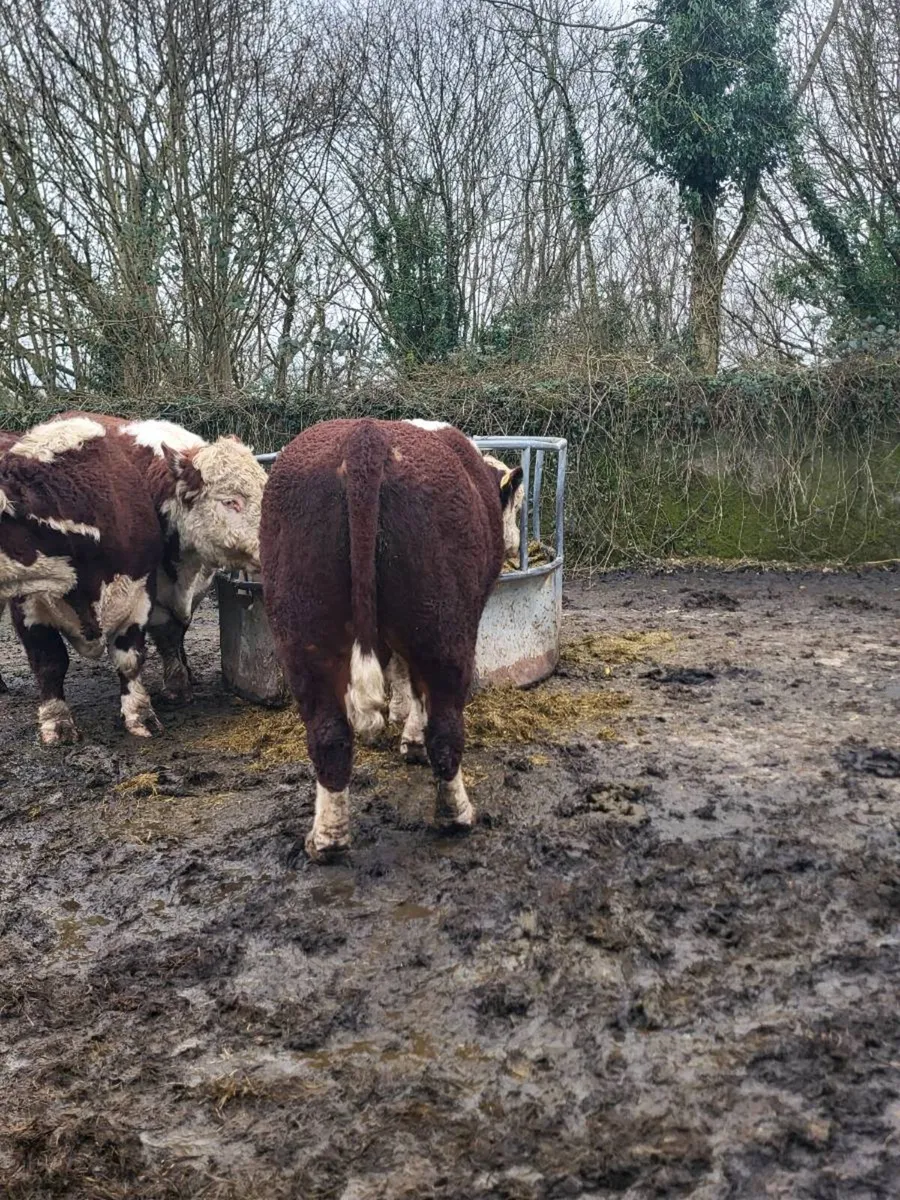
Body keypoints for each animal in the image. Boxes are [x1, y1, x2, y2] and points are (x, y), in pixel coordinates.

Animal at [0, 415, 265, 743]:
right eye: (231, 502)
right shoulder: (27, 606)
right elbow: (49, 663)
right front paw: (57, 722)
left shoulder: (145, 595)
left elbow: (148, 649)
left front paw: (164, 696)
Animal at [259, 417, 524, 861]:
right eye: (516, 508)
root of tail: (365, 436)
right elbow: (414, 690)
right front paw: (410, 735)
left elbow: (395, 672)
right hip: (442, 627)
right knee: (444, 724)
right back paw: (456, 814)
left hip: (302, 630)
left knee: (328, 733)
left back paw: (327, 838)